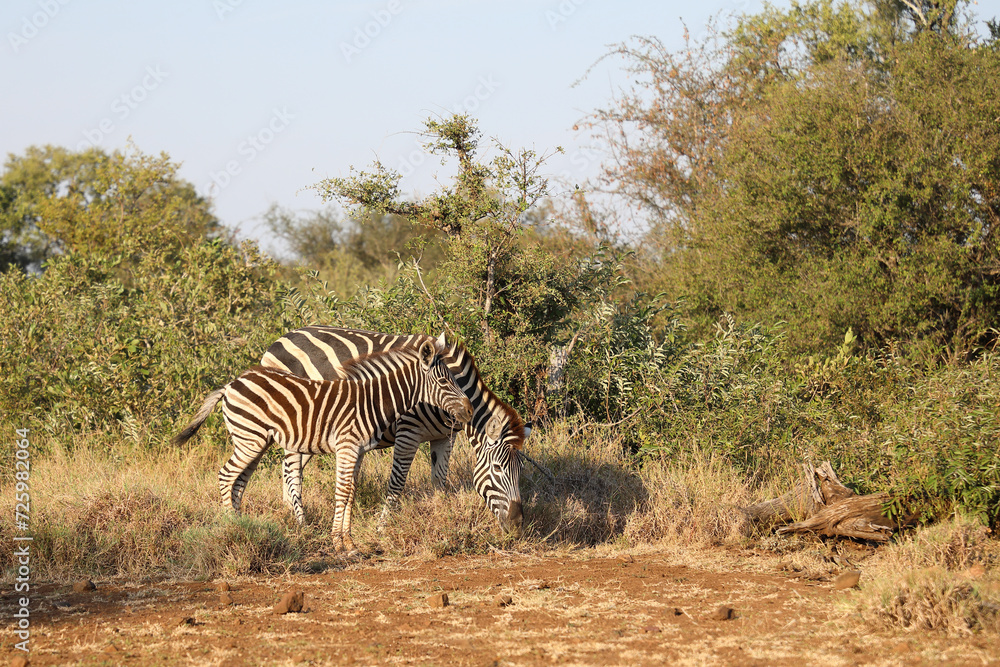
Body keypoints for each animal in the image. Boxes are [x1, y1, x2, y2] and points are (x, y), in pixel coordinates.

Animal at [172, 341, 473, 554]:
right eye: (444, 381)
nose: (469, 411)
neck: (373, 400)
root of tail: (231, 384)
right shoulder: (347, 446)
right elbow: (342, 492)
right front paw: (338, 543)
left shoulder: (358, 451)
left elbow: (351, 493)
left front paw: (350, 543)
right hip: (250, 438)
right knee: (226, 476)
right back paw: (231, 529)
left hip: (255, 441)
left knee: (238, 482)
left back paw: (239, 523)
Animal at [259, 326, 530, 534]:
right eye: (498, 468)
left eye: (520, 470)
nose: (517, 526)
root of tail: (278, 341)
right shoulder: (408, 432)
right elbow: (397, 482)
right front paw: (382, 526)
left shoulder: (445, 437)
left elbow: (439, 479)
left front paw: (441, 514)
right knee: (291, 469)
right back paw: (301, 522)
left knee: (289, 468)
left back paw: (289, 512)